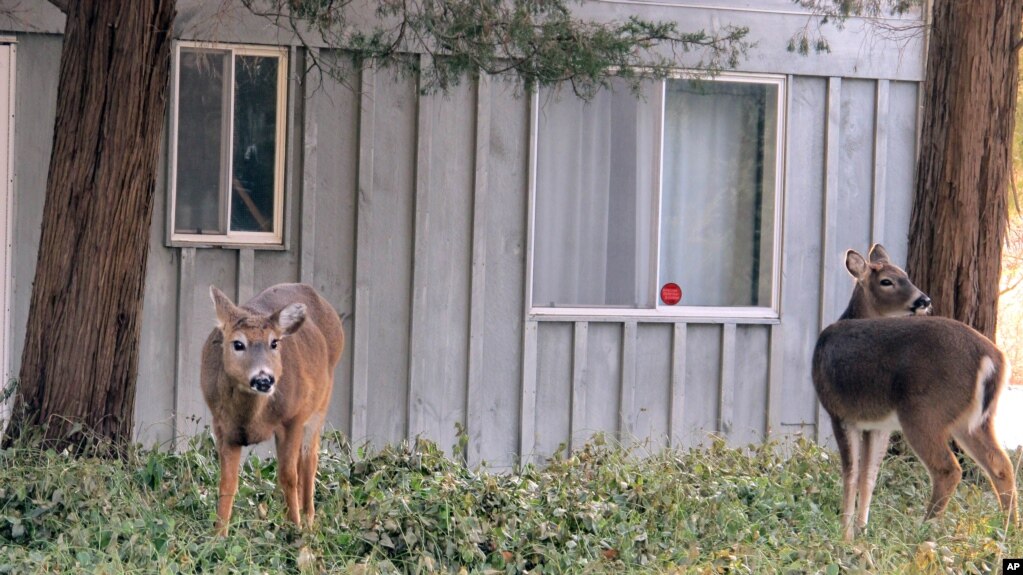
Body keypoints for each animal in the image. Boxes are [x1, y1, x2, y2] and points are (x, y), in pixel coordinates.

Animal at [201, 282, 345, 532]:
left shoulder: (293, 418)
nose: (264, 379)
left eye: (274, 343)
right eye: (238, 344)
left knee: (309, 460)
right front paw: (218, 534)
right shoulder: (222, 425)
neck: (249, 417)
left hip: (320, 405)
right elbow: (227, 482)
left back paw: (308, 519)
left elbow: (288, 476)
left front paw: (294, 528)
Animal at [814, 243, 1014, 540]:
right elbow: (869, 474)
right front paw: (861, 530)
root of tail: (993, 357)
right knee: (1001, 465)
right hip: (975, 421)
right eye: (888, 280)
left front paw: (845, 535)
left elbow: (850, 473)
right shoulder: (877, 424)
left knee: (948, 469)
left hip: (923, 412)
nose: (924, 300)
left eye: (906, 275)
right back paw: (1008, 529)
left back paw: (924, 531)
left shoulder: (839, 412)